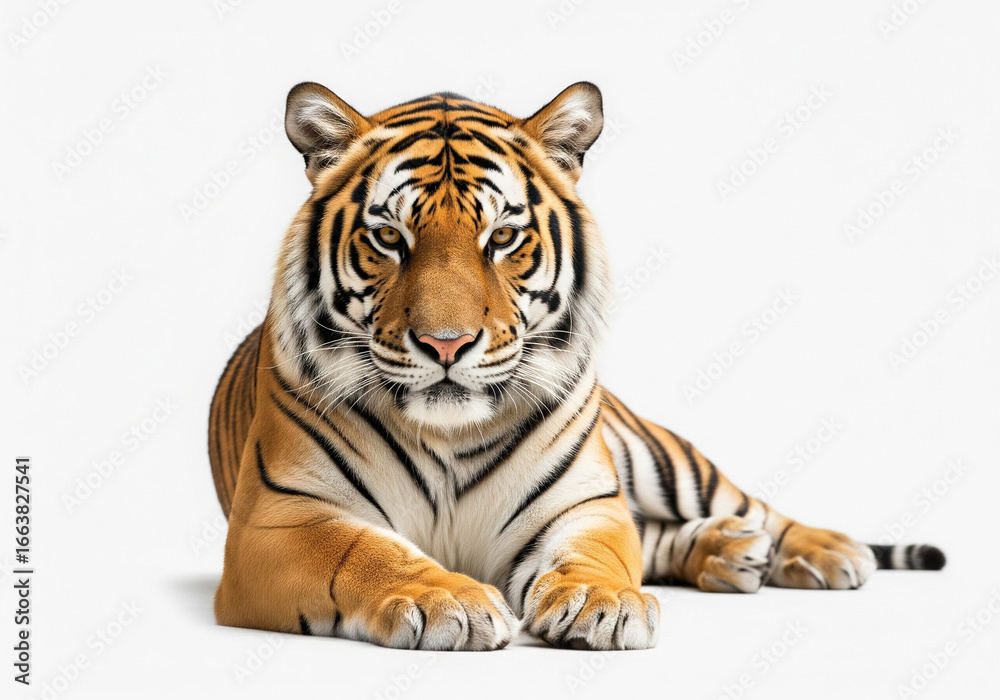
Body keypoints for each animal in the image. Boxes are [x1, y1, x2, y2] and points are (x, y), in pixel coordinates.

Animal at [208, 81, 945, 651]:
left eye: (503, 237)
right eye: (389, 237)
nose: (446, 345)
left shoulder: (585, 504)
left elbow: (599, 552)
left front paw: (603, 603)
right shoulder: (278, 520)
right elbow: (367, 550)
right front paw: (449, 601)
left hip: (666, 458)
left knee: (748, 507)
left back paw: (821, 550)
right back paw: (734, 554)